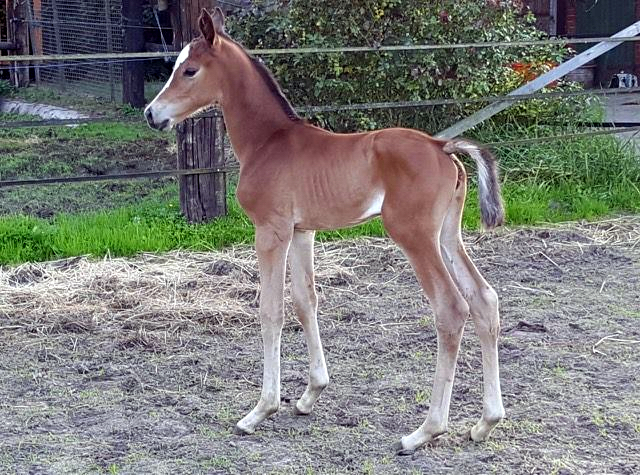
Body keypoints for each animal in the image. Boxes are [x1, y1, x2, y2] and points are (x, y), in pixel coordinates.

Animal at [145, 7, 504, 454]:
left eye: (190, 70)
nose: (151, 114)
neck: (269, 142)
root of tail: (443, 147)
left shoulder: (271, 230)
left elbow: (271, 309)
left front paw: (260, 411)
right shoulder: (303, 232)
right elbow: (305, 301)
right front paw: (310, 394)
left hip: (414, 235)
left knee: (451, 308)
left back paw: (424, 431)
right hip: (447, 236)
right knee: (484, 299)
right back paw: (485, 423)